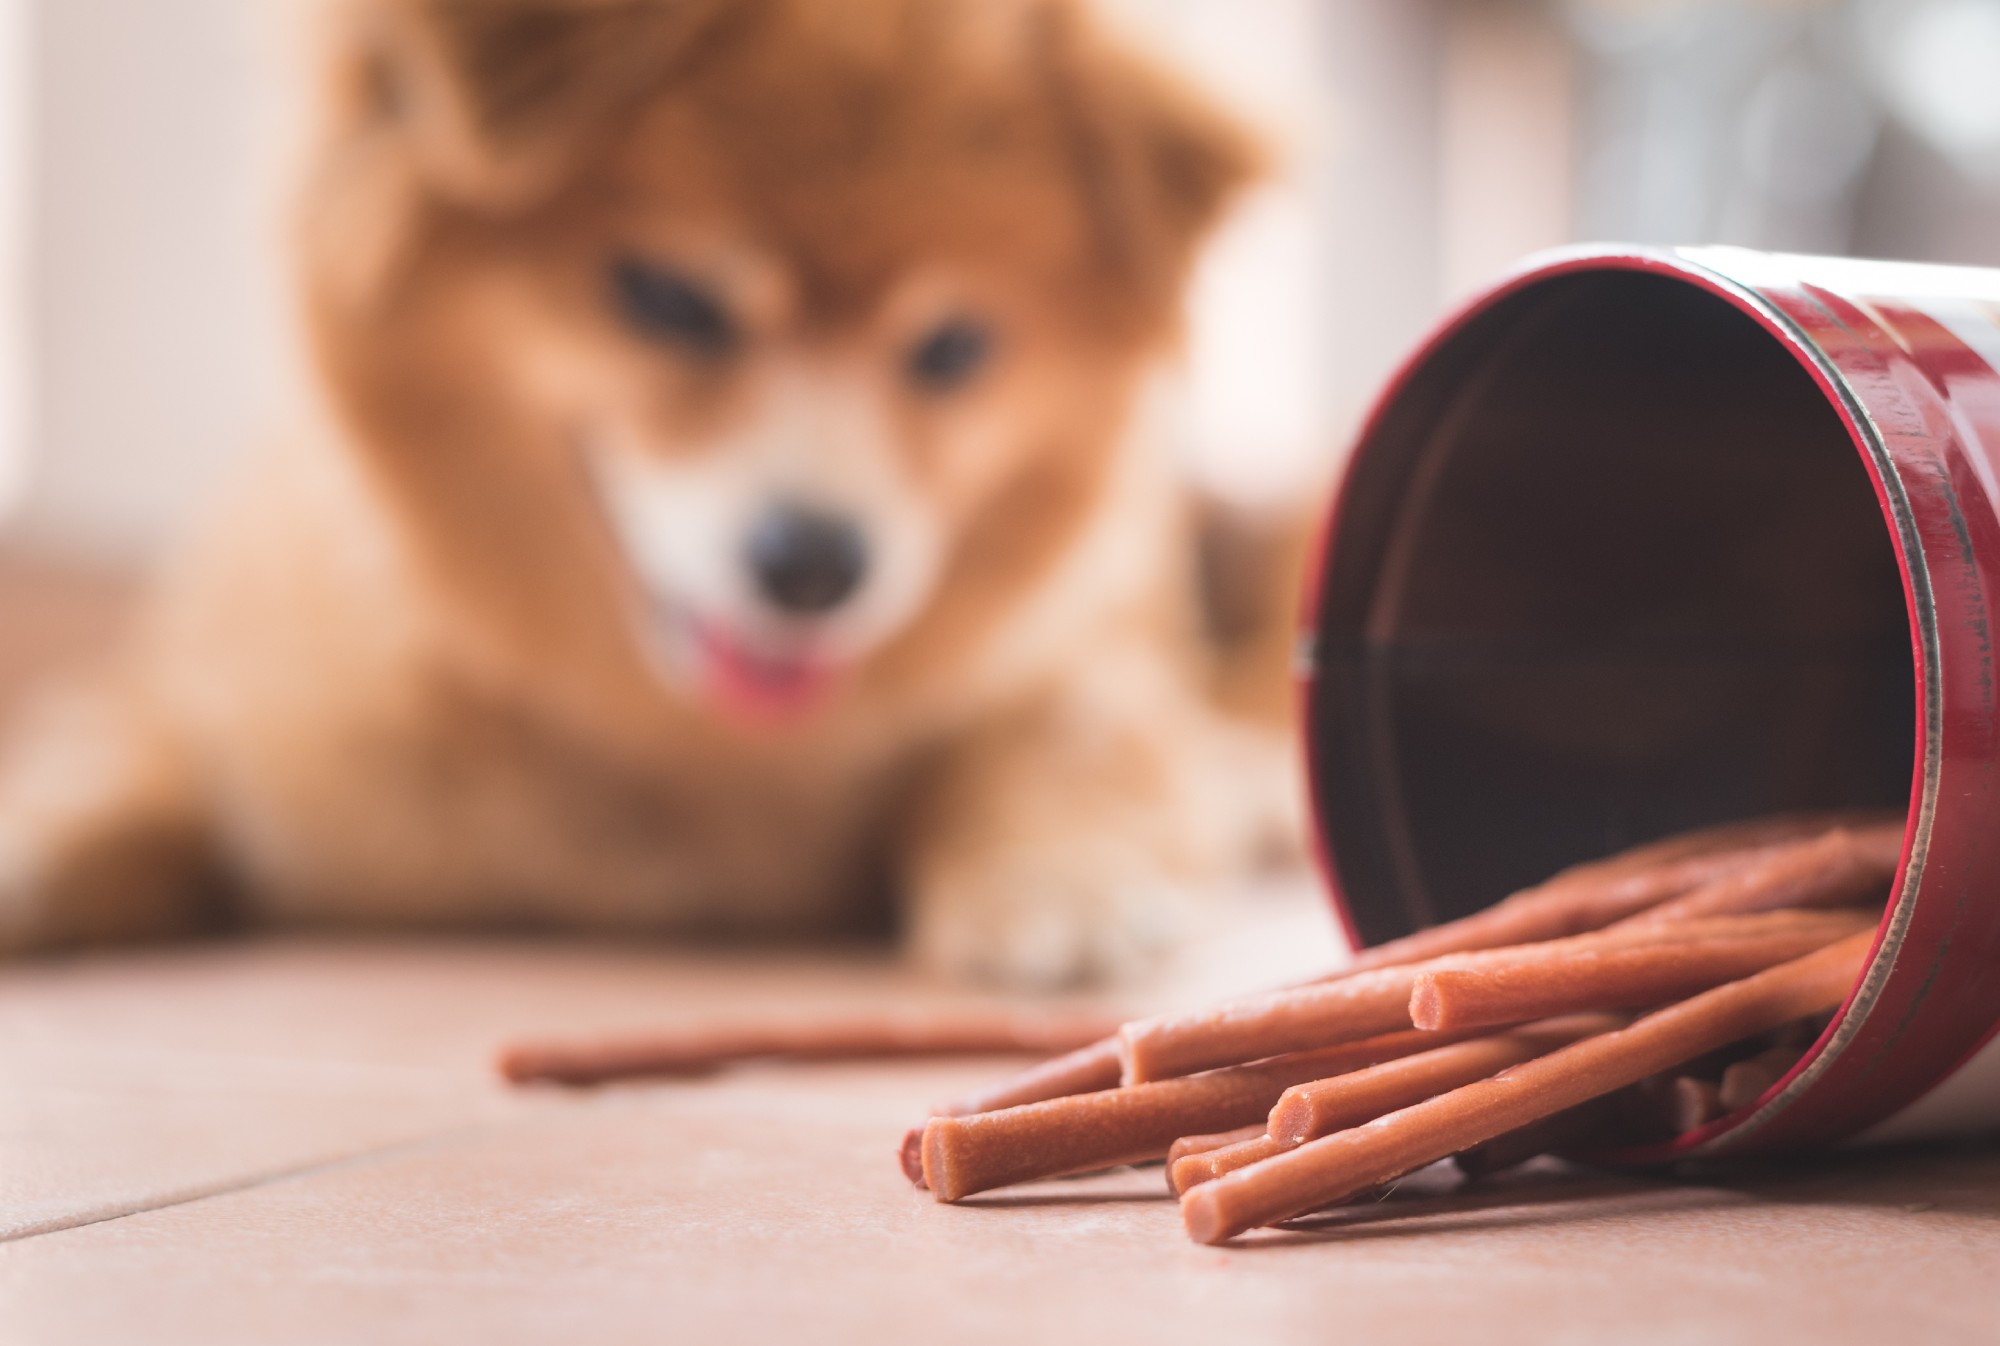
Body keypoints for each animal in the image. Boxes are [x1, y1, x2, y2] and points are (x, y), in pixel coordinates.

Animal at [0, 0, 1296, 980]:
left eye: (951, 349)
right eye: (669, 299)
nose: (814, 567)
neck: (669, 745)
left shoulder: (1075, 666)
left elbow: (1049, 746)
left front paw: (1059, 881)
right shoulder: (209, 703)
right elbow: (106, 778)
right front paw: (32, 856)